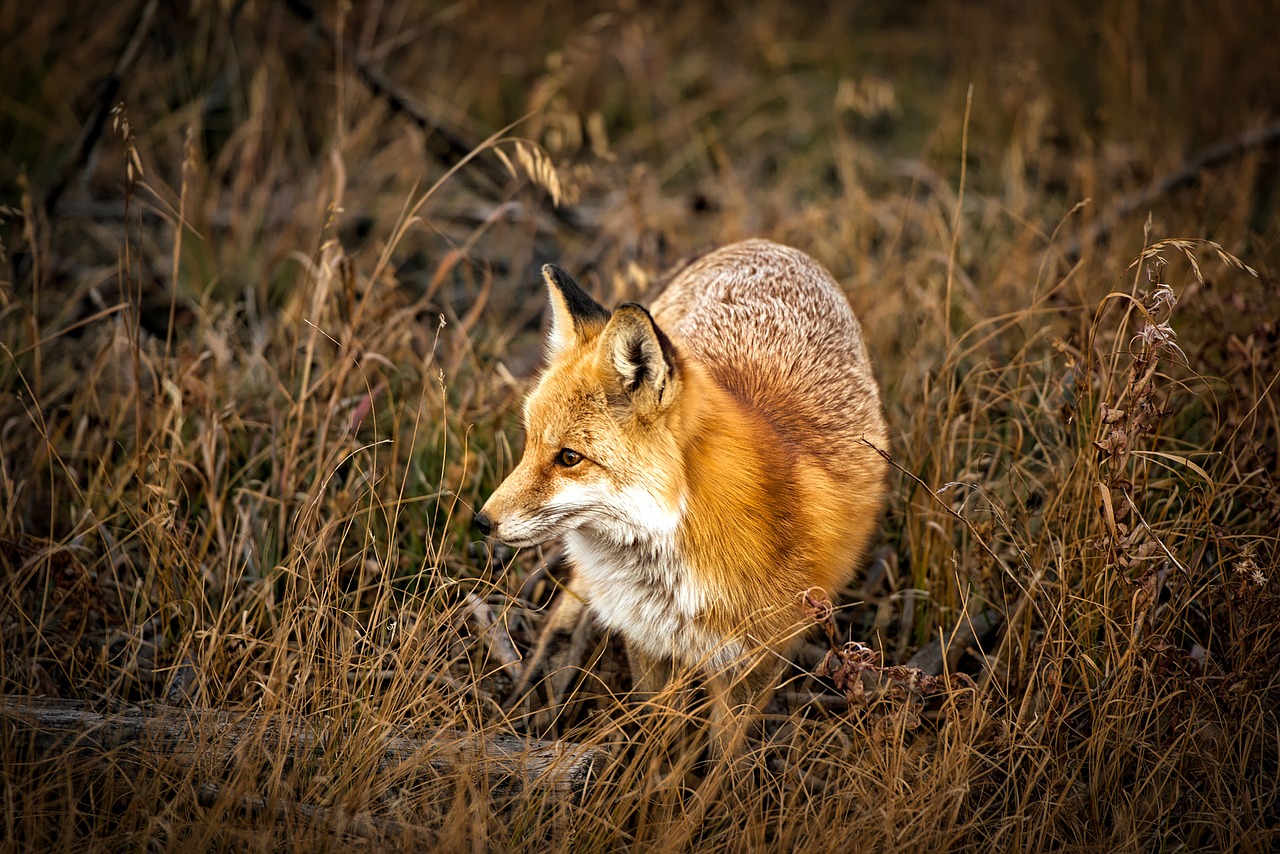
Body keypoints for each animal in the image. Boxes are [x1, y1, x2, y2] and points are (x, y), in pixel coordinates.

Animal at [476, 239, 885, 737]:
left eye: (569, 457)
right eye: (530, 442)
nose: (482, 522)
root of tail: (765, 245)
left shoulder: (757, 658)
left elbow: (725, 753)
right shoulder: (645, 637)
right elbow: (657, 728)